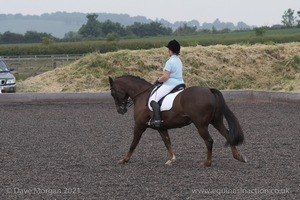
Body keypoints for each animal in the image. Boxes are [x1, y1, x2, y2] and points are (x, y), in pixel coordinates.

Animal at [108, 74, 246, 166]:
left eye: (112, 93)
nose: (120, 110)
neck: (142, 95)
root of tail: (209, 90)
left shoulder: (139, 125)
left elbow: (133, 144)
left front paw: (124, 159)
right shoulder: (161, 127)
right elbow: (167, 142)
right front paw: (171, 159)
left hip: (201, 125)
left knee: (209, 141)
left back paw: (207, 162)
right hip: (216, 121)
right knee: (227, 134)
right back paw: (238, 156)